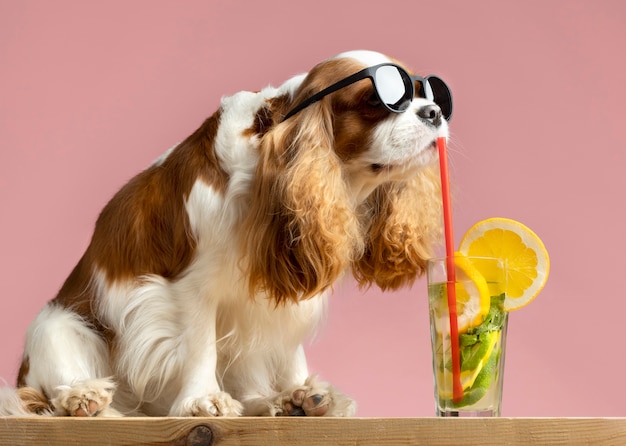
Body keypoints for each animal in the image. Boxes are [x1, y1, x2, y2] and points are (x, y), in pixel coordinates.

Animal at [0, 50, 448, 416]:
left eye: (429, 95)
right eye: (379, 100)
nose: (433, 112)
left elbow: (288, 348)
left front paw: (303, 390)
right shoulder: (189, 288)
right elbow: (201, 346)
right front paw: (203, 399)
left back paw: (278, 400)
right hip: (56, 325)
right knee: (58, 384)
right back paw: (83, 396)